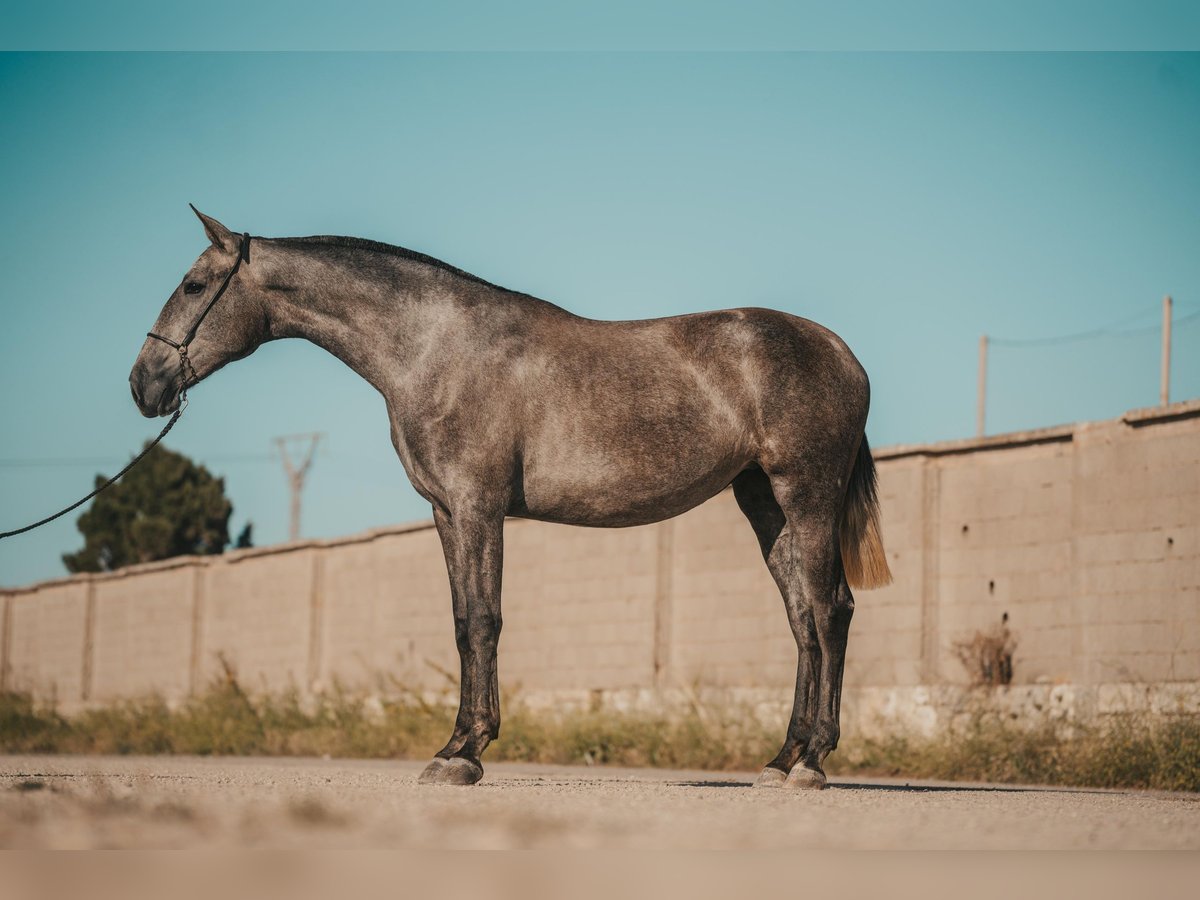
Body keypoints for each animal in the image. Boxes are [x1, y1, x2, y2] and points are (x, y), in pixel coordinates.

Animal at [129, 210, 892, 787]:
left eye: (194, 285)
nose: (144, 383)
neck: (433, 349)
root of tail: (841, 352)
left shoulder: (478, 506)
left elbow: (483, 621)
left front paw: (465, 753)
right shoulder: (445, 511)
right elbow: (461, 621)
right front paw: (454, 746)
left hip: (806, 496)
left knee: (829, 612)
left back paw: (812, 762)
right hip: (765, 504)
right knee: (804, 620)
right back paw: (782, 758)